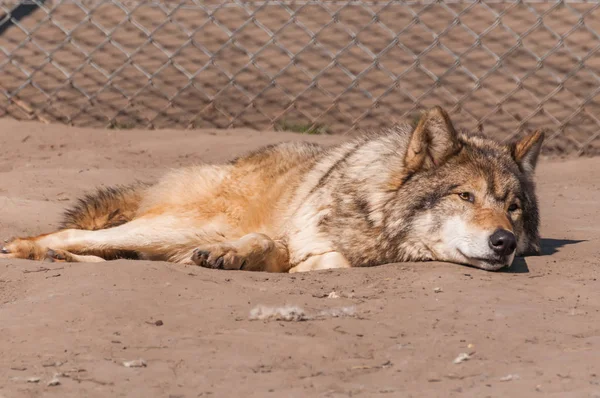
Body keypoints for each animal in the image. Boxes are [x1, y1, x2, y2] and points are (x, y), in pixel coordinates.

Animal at [0, 107, 544, 272]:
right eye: (465, 196)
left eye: (514, 208)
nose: (503, 242)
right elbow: (273, 244)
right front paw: (232, 254)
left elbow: (293, 256)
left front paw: (234, 257)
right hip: (174, 227)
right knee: (72, 236)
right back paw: (29, 249)